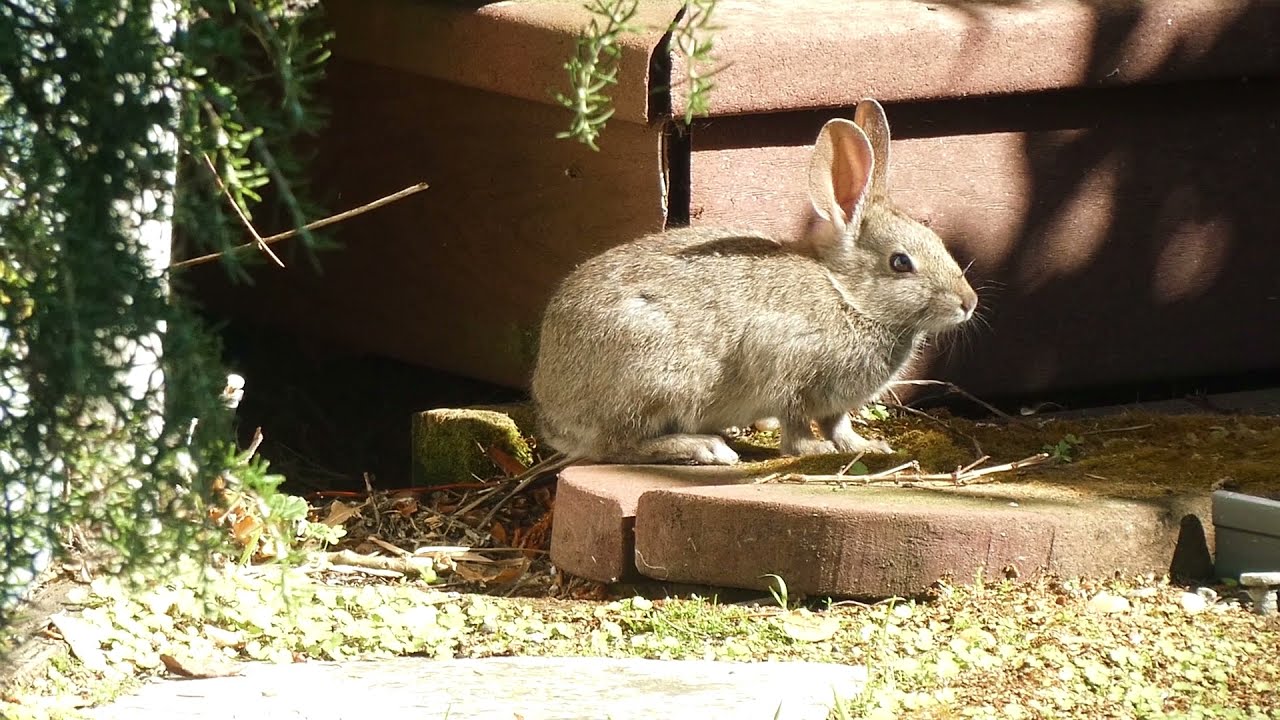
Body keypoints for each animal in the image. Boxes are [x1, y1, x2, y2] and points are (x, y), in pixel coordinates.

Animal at [531, 98, 977, 465]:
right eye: (901, 262)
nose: (968, 302)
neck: (847, 296)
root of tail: (552, 409)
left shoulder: (834, 403)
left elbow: (839, 425)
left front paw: (867, 446)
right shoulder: (790, 374)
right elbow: (796, 428)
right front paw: (814, 450)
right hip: (655, 377)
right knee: (613, 446)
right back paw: (704, 448)